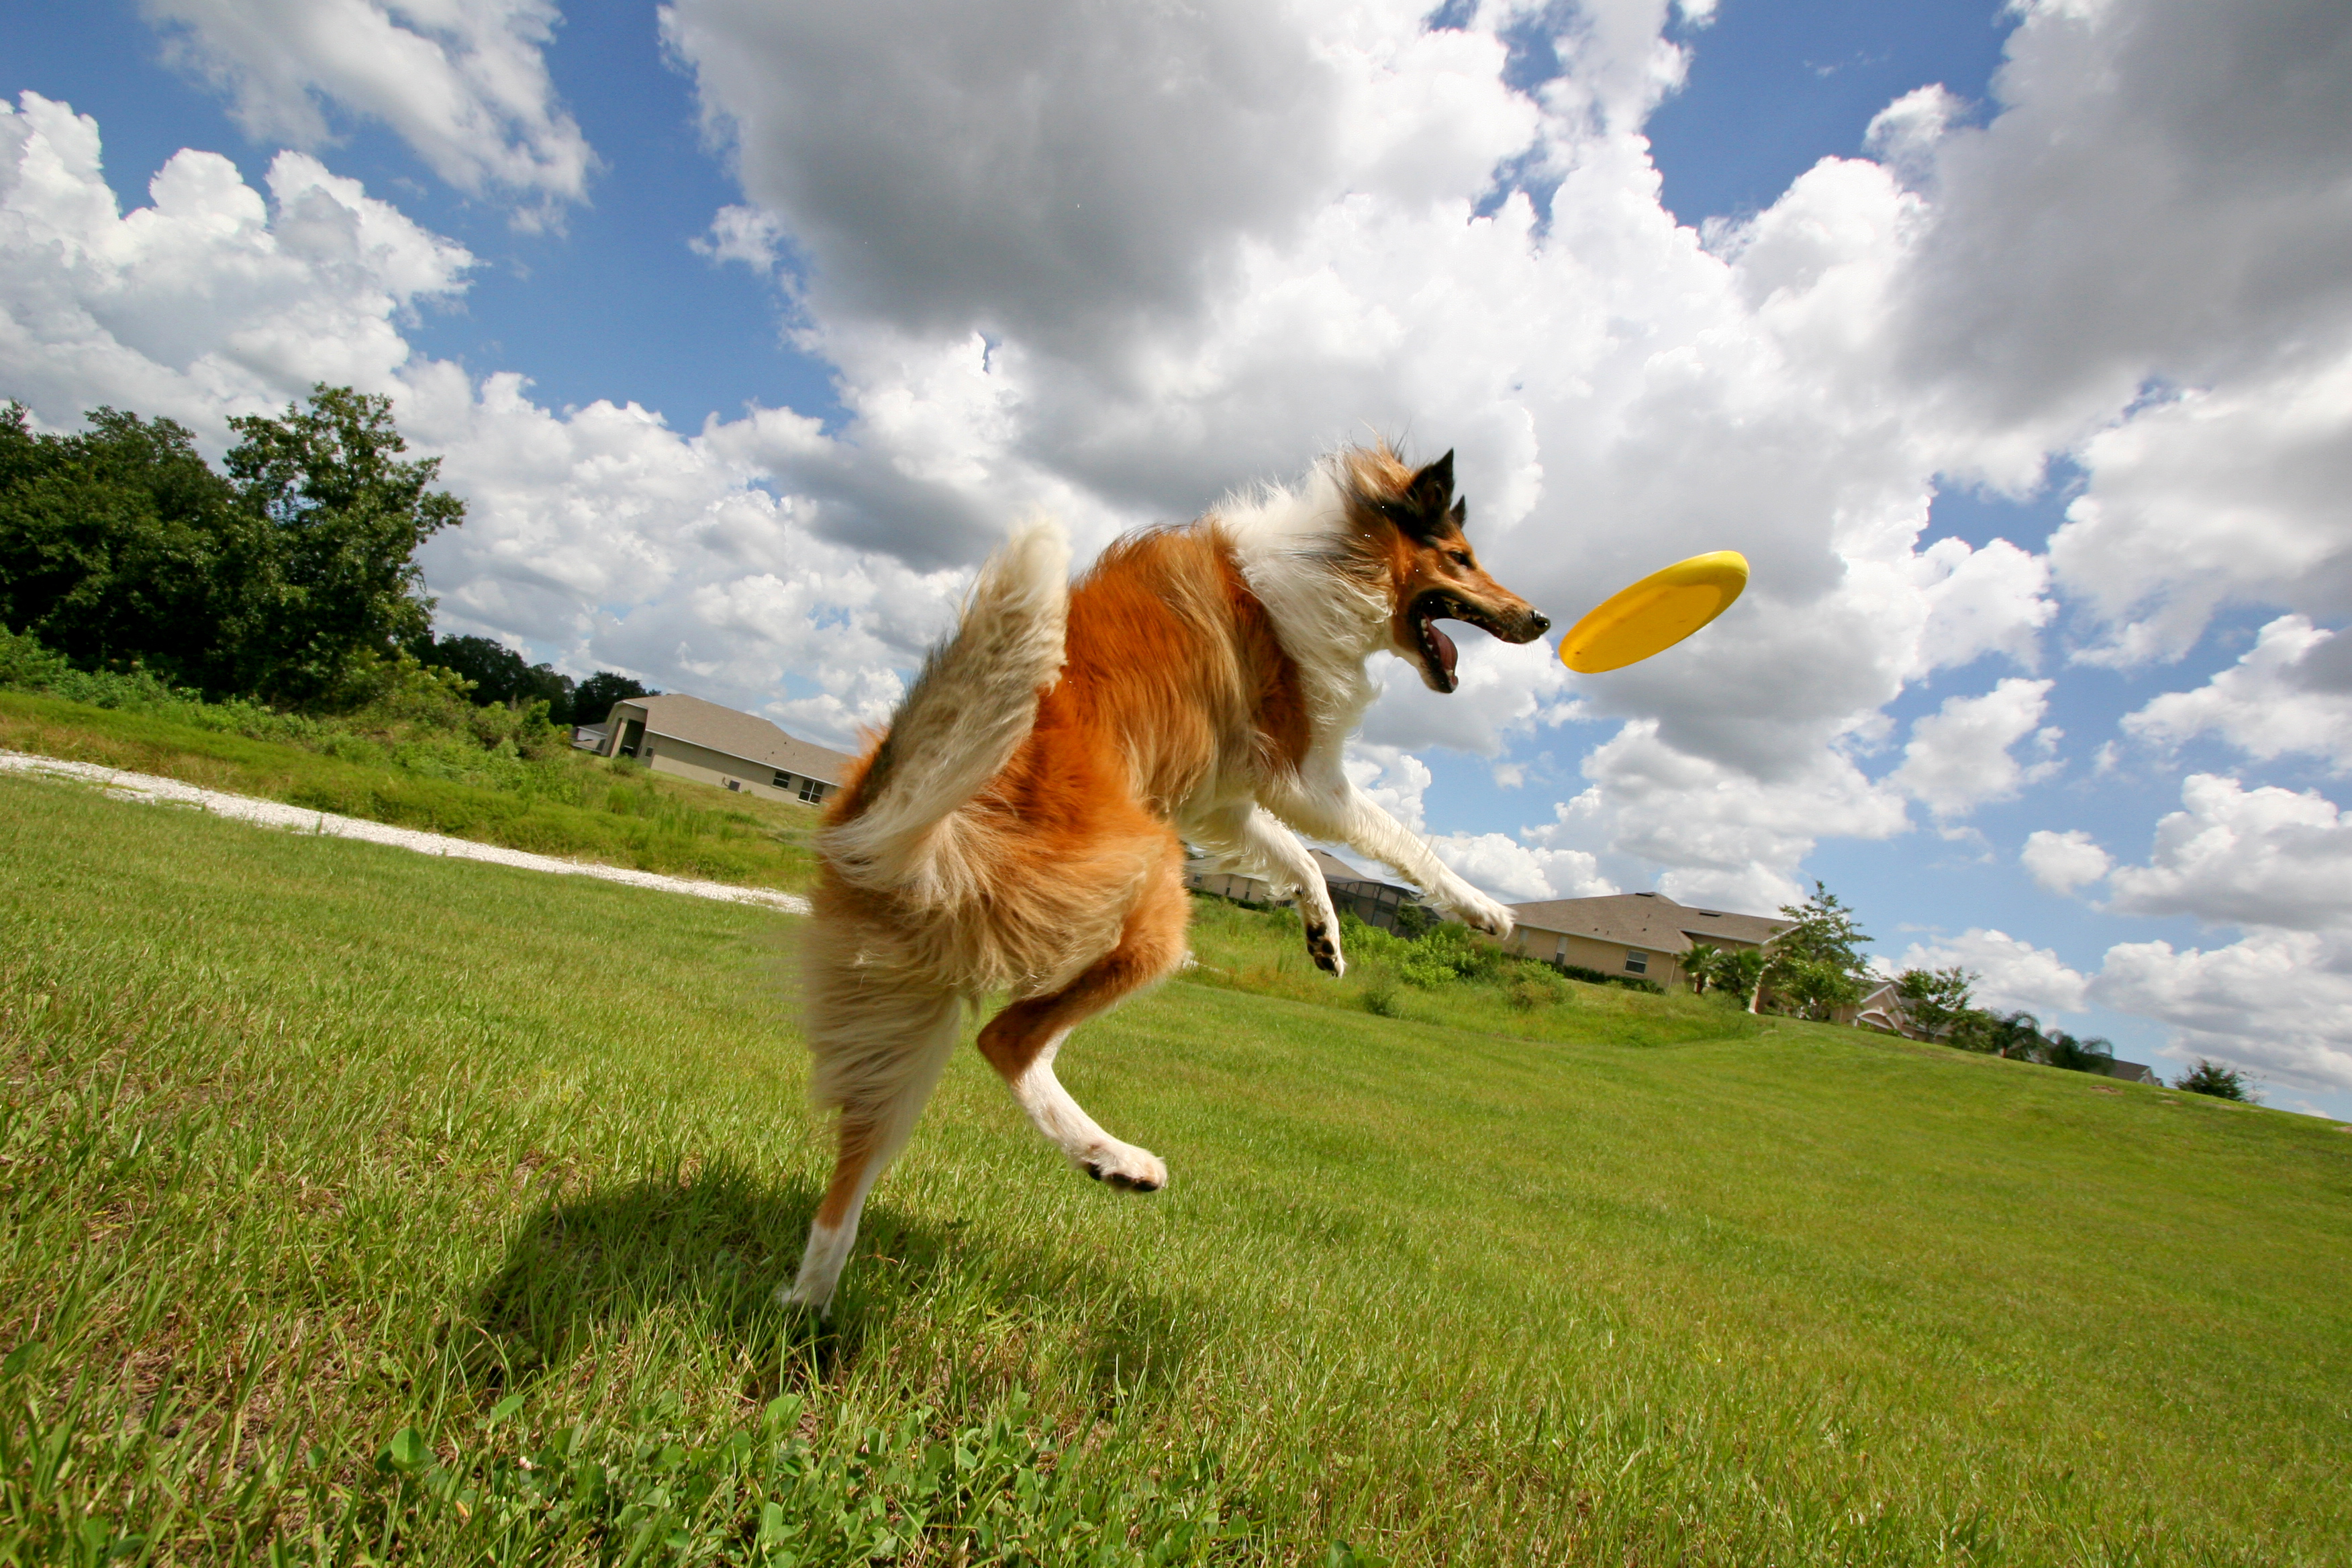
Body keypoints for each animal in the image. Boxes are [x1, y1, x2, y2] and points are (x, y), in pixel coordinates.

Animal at [790, 444, 1552, 1316]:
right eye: (1460, 557)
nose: (1541, 619)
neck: (1336, 552)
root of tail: (906, 825)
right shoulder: (1304, 774)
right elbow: (1397, 840)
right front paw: (1485, 909)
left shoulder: (1225, 795)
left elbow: (1298, 860)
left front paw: (1324, 936)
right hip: (1150, 902)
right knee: (1008, 1037)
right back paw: (1119, 1159)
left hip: (905, 1013)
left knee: (850, 1178)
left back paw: (816, 1306)